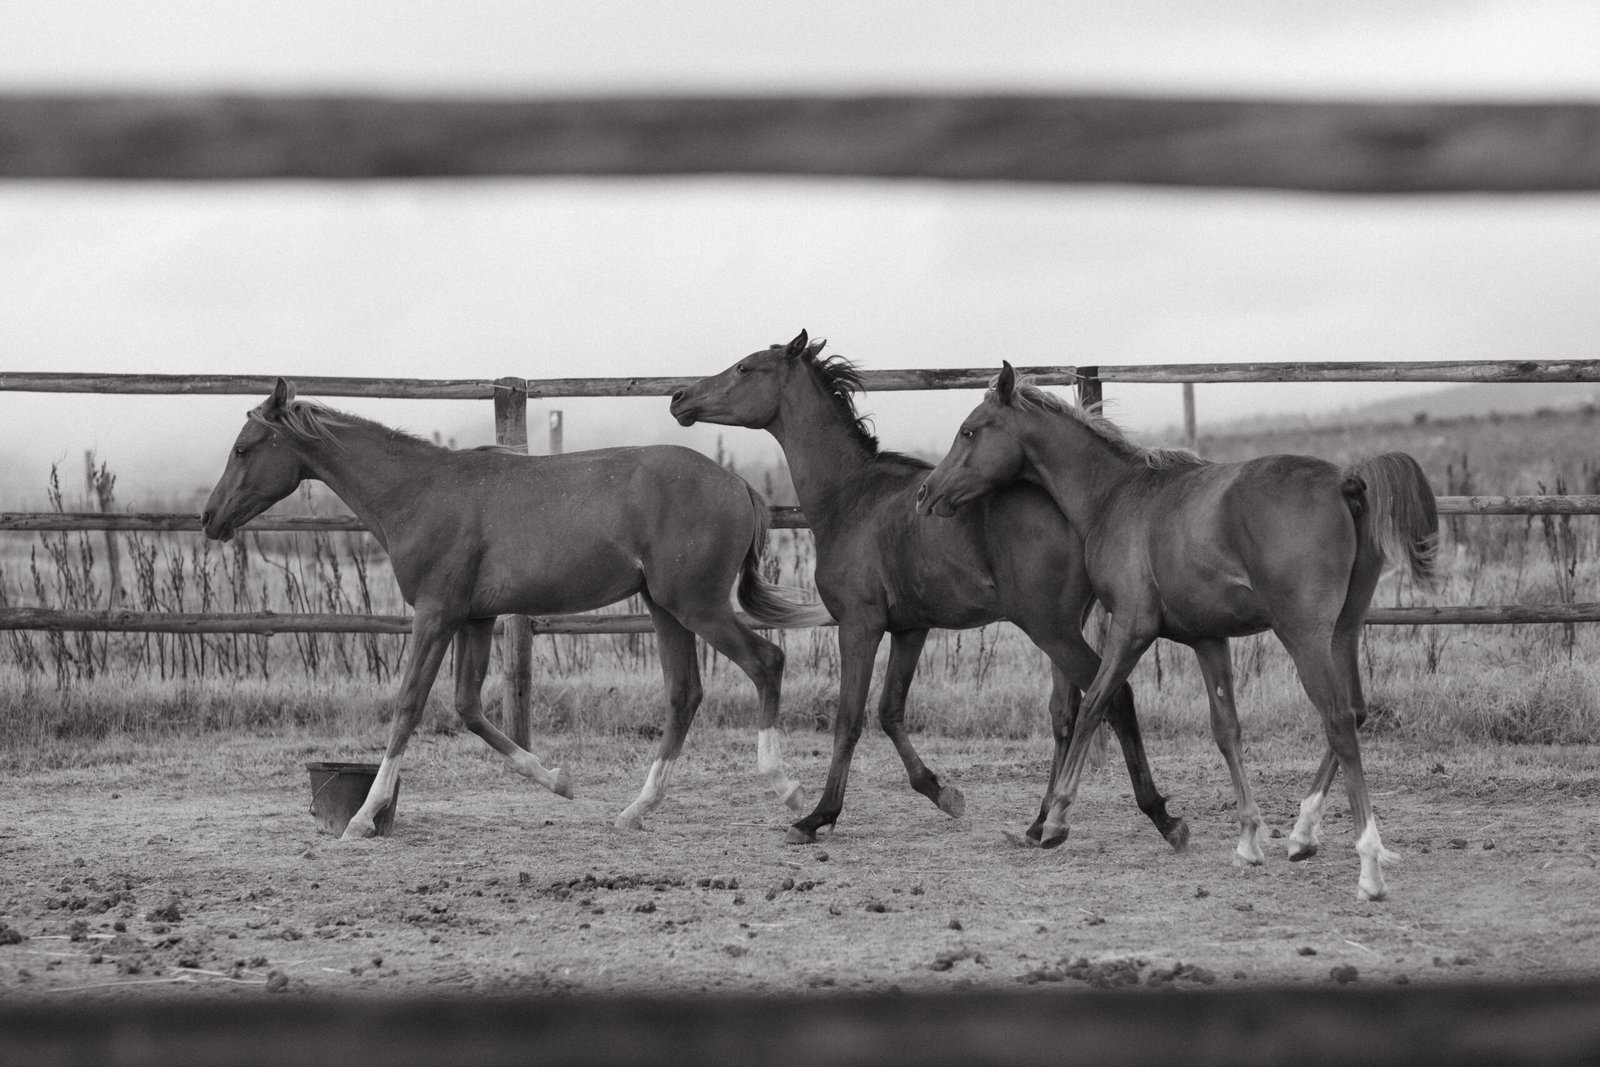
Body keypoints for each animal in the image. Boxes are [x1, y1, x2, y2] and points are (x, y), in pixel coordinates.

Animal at [198, 379, 825, 838]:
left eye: (243, 448)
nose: (209, 518)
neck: (420, 493)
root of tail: (738, 485)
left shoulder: (436, 614)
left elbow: (408, 706)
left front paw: (362, 818)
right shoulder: (474, 618)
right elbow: (468, 707)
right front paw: (558, 780)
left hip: (696, 605)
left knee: (766, 662)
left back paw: (788, 789)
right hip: (666, 608)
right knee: (684, 693)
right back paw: (636, 809)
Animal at [665, 334, 1190, 851]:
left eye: (745, 367)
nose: (679, 398)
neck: (850, 497)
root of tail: (1082, 509)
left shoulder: (859, 625)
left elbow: (849, 720)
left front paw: (816, 817)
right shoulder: (911, 628)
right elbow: (890, 711)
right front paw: (943, 793)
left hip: (1049, 628)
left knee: (1113, 699)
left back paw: (1157, 818)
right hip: (1063, 627)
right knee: (1066, 713)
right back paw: (1039, 824)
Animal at [921, 361, 1446, 902]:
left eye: (969, 430)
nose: (928, 493)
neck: (1116, 495)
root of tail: (1346, 480)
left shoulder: (1131, 628)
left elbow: (1093, 706)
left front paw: (1057, 821)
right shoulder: (1207, 640)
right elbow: (1226, 730)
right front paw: (1248, 840)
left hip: (1304, 635)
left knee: (1339, 721)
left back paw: (1369, 867)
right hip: (1343, 631)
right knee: (1356, 711)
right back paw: (1302, 835)